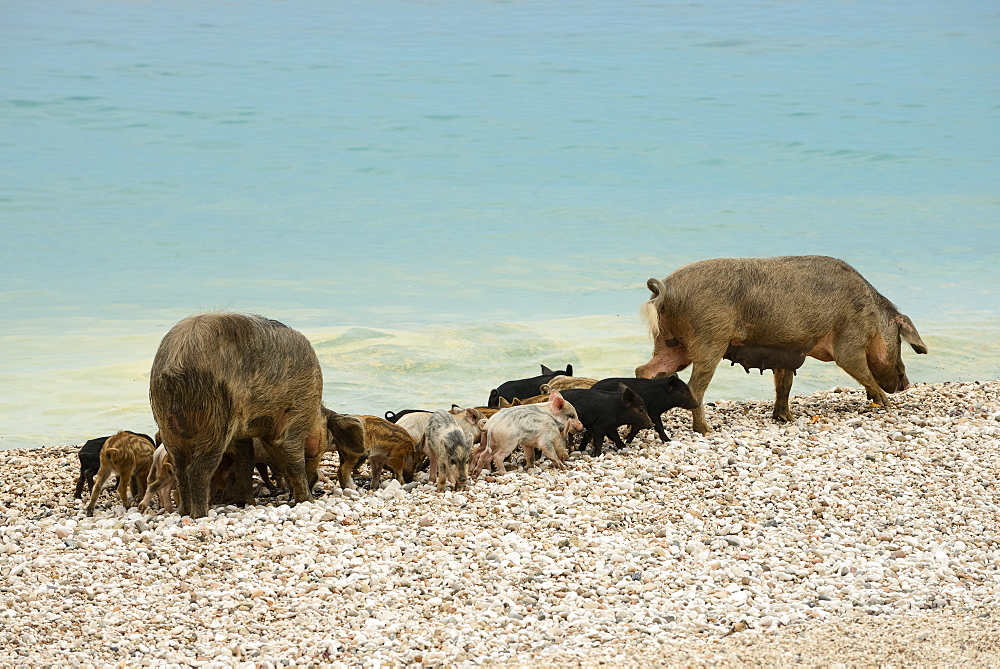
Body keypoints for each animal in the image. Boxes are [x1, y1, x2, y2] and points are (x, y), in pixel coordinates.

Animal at [148, 312, 324, 516]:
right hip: (215, 417)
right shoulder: (297, 412)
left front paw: (249, 503)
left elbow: (246, 461)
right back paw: (200, 515)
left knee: (180, 469)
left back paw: (184, 512)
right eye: (317, 452)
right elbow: (293, 456)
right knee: (197, 470)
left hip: (167, 425)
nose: (315, 483)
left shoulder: (241, 434)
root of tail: (174, 366)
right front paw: (308, 500)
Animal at [636, 256, 924, 434]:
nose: (907, 384)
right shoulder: (849, 340)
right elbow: (858, 368)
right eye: (900, 340)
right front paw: (885, 404)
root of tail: (666, 287)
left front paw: (786, 419)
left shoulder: (787, 353)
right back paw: (706, 430)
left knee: (645, 370)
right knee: (695, 387)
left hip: (671, 345)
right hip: (709, 338)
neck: (873, 318)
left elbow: (784, 385)